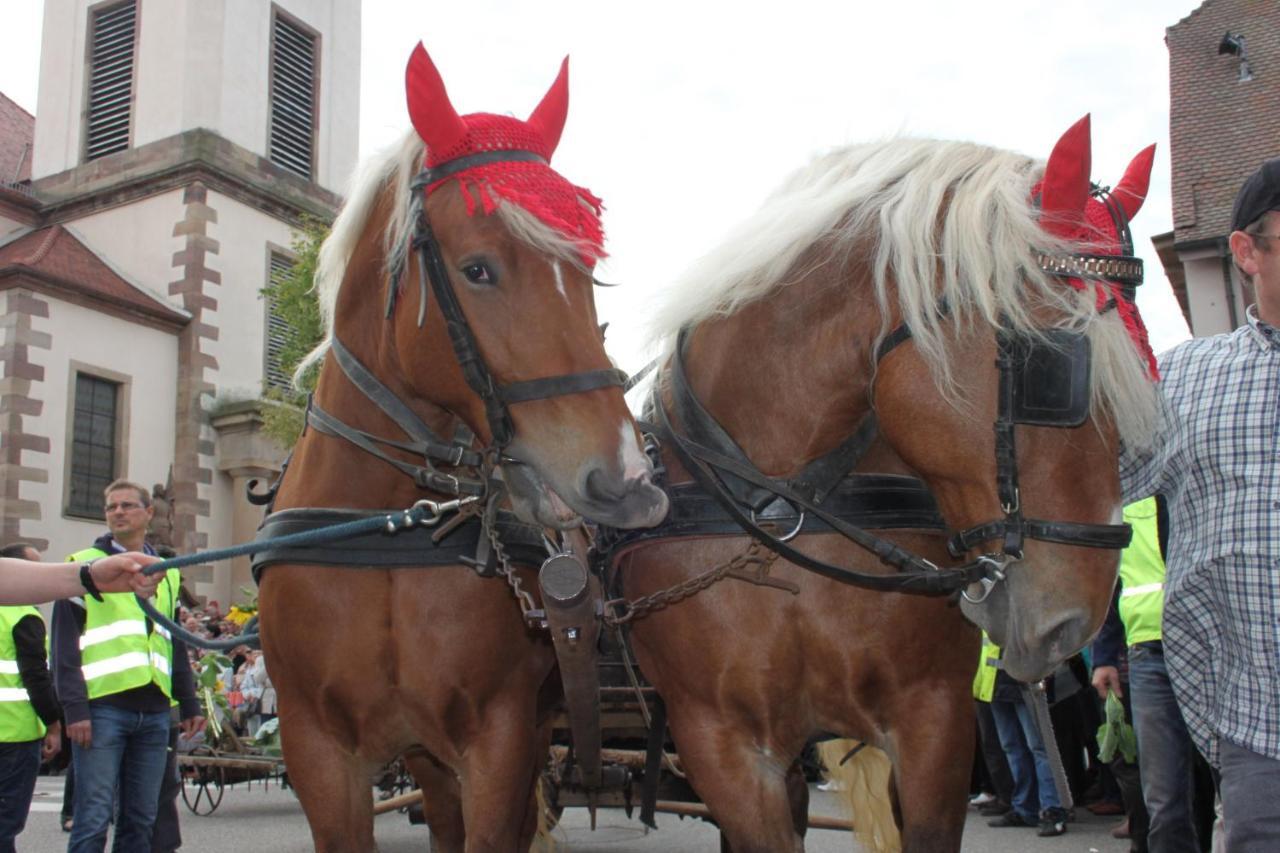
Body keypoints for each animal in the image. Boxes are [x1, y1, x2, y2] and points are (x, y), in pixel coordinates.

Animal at [256, 46, 665, 850]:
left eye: (588, 270)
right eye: (478, 268)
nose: (629, 481)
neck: (393, 528)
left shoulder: (497, 740)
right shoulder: (319, 749)